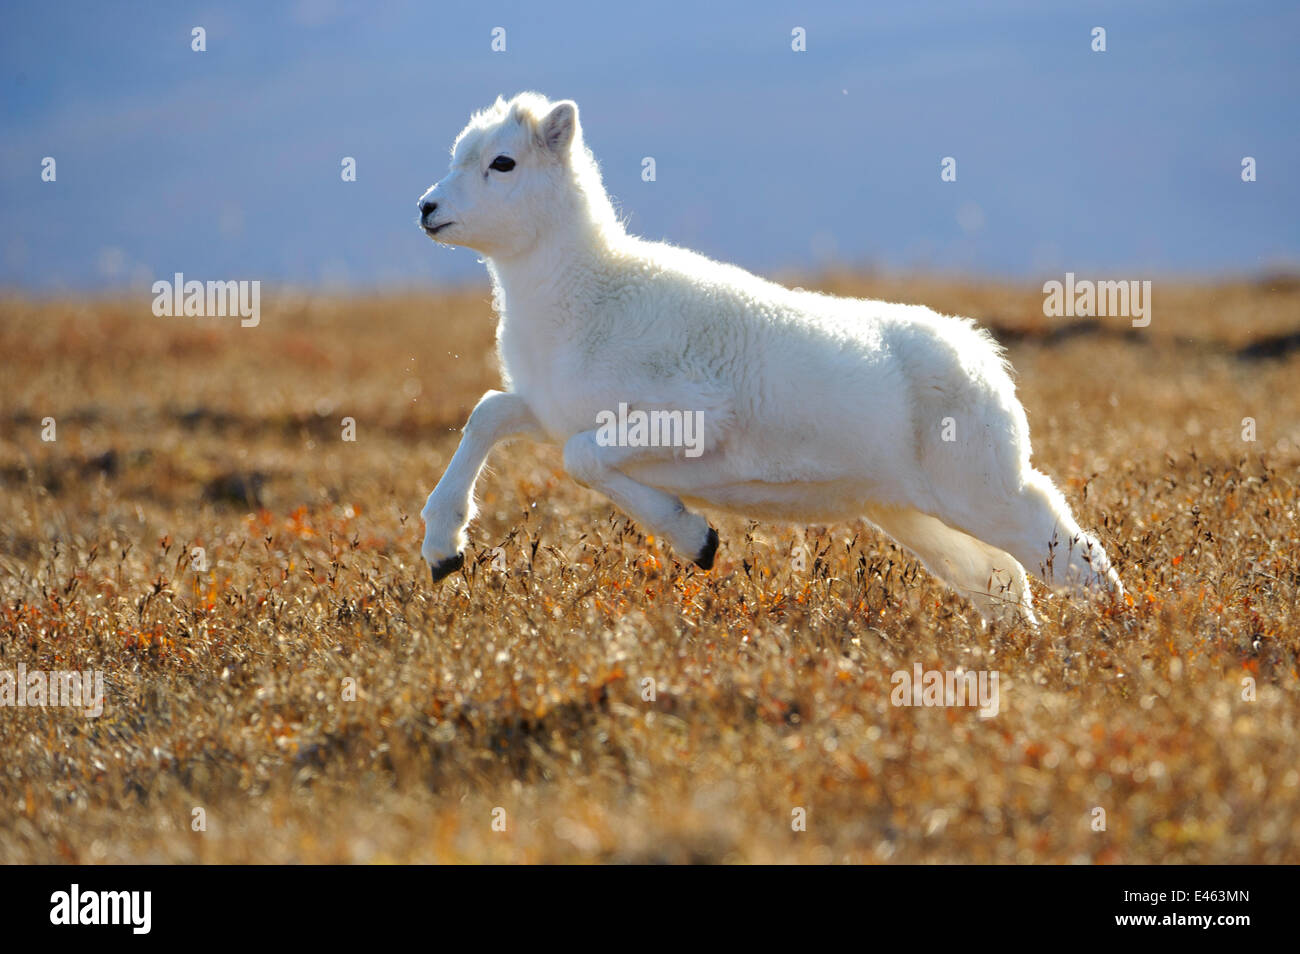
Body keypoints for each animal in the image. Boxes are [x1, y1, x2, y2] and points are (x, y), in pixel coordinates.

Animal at [413, 91, 1118, 629]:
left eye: (503, 163)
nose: (426, 209)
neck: (582, 292)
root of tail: (981, 356)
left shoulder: (688, 417)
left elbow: (582, 458)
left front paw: (697, 541)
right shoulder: (545, 410)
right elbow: (488, 415)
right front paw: (443, 552)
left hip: (985, 492)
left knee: (1071, 551)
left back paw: (1113, 633)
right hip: (915, 515)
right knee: (1003, 579)